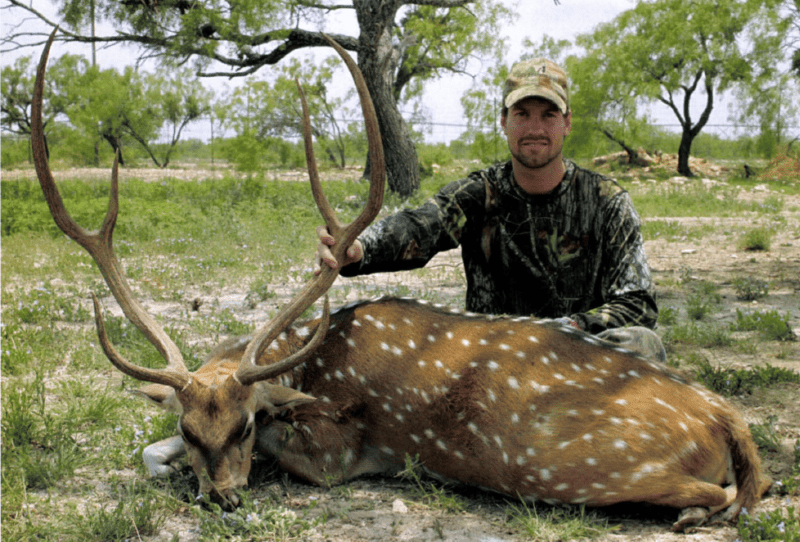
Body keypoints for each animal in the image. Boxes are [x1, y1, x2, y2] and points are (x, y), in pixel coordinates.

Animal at [31, 30, 768, 536]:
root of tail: (730, 419)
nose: (224, 499)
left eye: (245, 425)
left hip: (593, 468)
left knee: (723, 496)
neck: (312, 362)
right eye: (191, 429)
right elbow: (146, 452)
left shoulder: (335, 454)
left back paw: (690, 518)